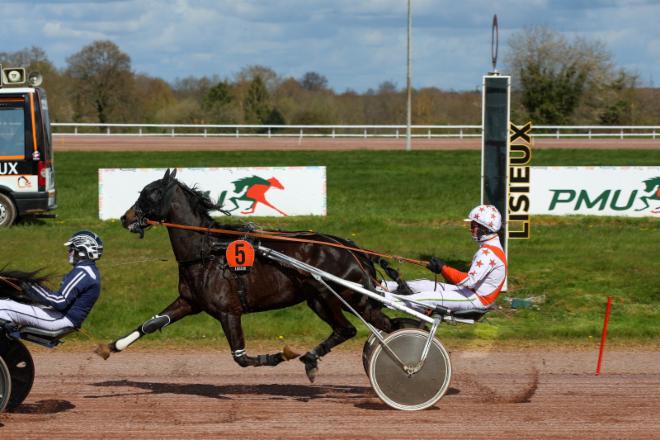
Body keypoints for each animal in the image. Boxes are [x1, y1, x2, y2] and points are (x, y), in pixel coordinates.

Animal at [99, 169, 405, 382]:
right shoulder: (189, 302)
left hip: (335, 296)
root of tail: (351, 248)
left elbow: (241, 358)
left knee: (356, 328)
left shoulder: (229, 312)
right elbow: (150, 325)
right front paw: (111, 346)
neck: (206, 251)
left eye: (149, 193)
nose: (125, 218)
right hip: (335, 299)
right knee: (376, 326)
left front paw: (279, 355)